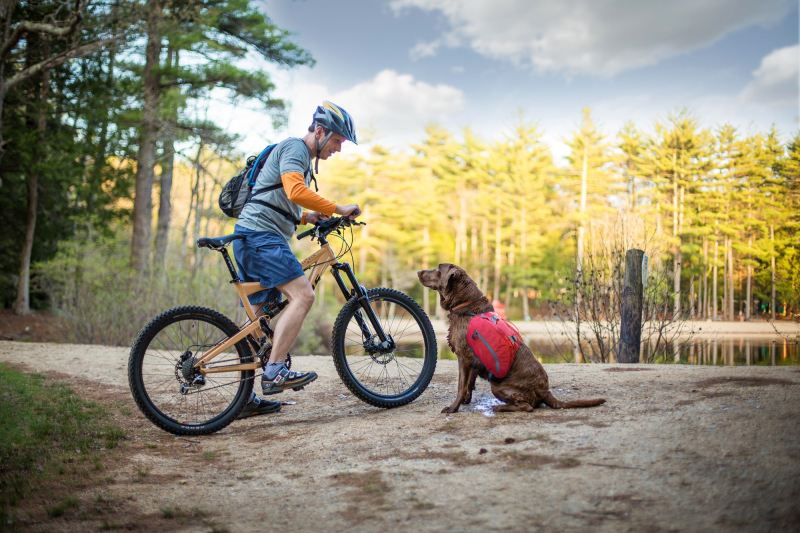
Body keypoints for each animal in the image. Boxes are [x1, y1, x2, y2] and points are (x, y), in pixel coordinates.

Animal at [418, 264, 608, 414]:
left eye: (437, 268)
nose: (419, 271)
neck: (465, 305)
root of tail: (545, 390)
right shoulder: (472, 360)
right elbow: (468, 384)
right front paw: (465, 401)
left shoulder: (463, 357)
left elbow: (460, 385)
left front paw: (453, 408)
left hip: (498, 386)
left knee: (527, 406)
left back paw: (499, 407)